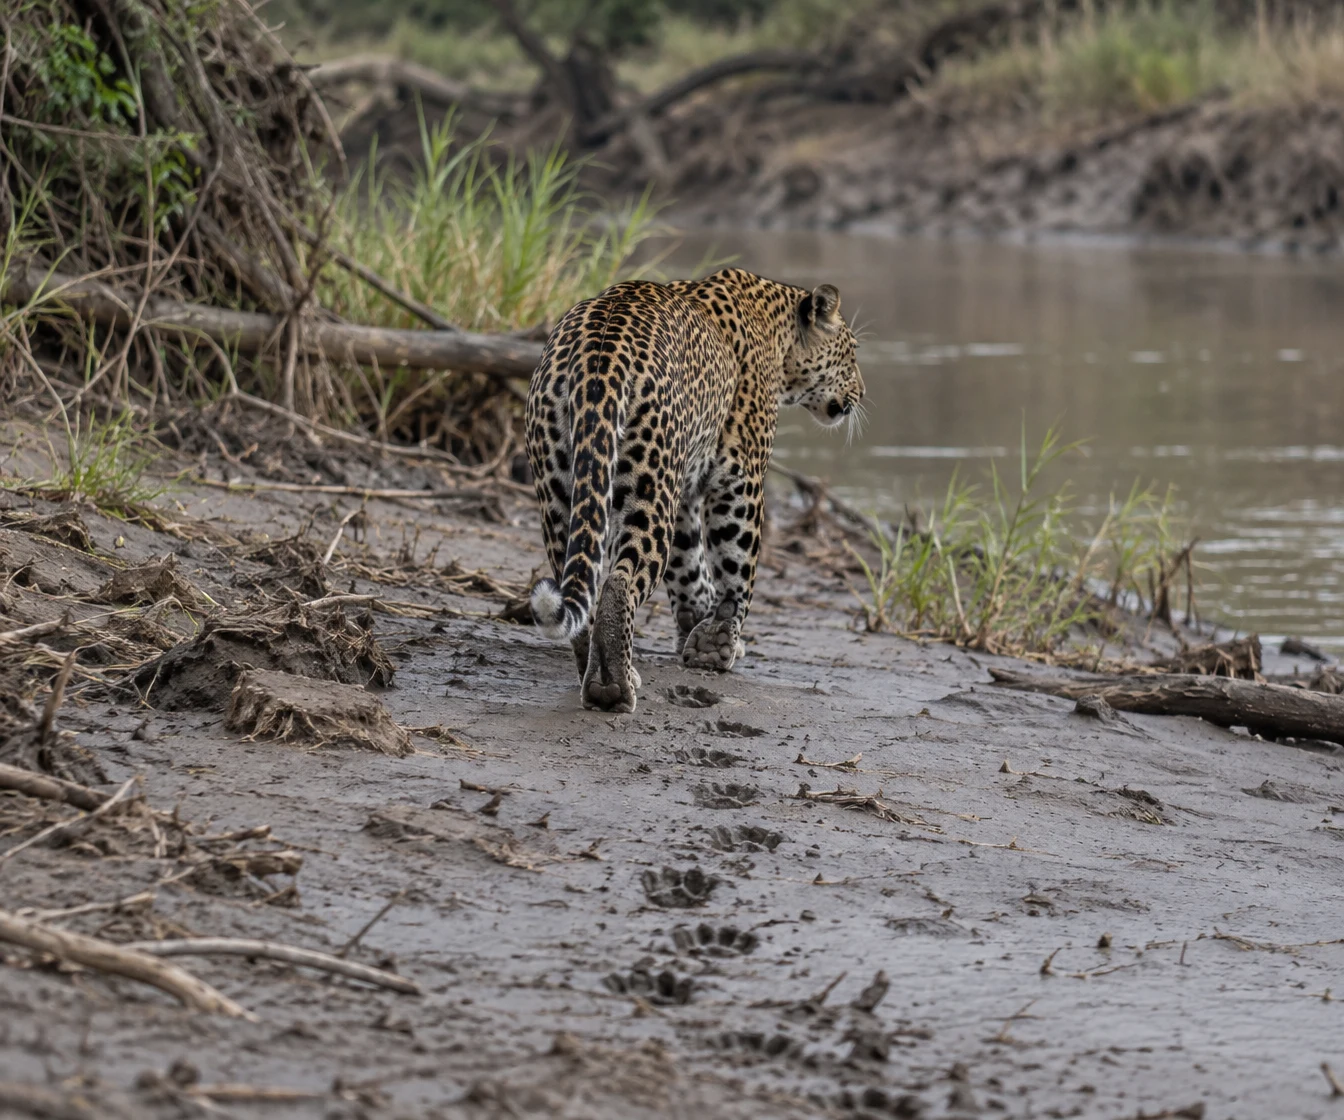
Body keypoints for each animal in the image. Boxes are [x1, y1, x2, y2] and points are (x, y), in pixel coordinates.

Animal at [525, 266, 864, 714]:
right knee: (620, 581)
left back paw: (594, 670)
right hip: (649, 487)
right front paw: (718, 643)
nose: (861, 393)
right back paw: (614, 685)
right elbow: (737, 564)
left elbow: (689, 567)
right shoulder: (741, 477)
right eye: (852, 353)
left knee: (580, 577)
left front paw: (697, 623)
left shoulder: (685, 489)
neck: (778, 333)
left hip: (565, 486)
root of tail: (599, 353)